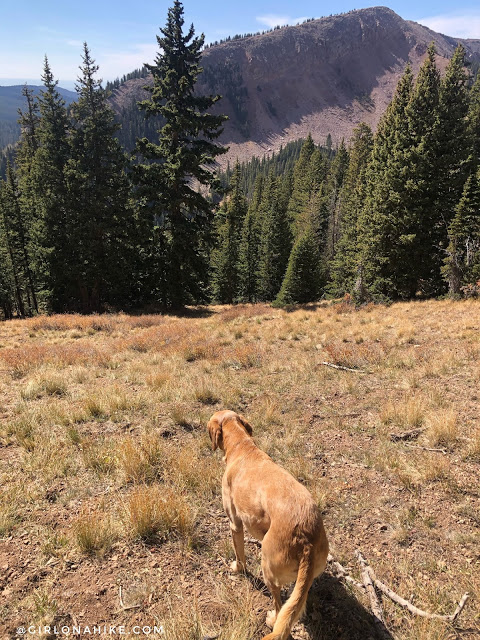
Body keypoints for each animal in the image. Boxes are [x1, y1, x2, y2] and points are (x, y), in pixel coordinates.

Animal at [208, 410, 328, 640]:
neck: (242, 445)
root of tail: (306, 540)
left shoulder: (235, 524)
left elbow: (240, 556)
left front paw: (237, 568)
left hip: (268, 568)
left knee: (280, 606)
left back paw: (272, 619)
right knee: (295, 605)